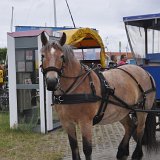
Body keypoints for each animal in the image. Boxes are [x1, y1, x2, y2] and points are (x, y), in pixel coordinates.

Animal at [40, 31, 158, 160]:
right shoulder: (67, 123)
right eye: (42, 56)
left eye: (62, 56)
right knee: (130, 126)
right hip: (122, 110)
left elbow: (87, 149)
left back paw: (137, 154)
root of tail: (144, 71)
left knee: (140, 129)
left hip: (142, 109)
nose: (51, 82)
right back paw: (122, 151)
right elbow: (74, 148)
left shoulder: (85, 122)